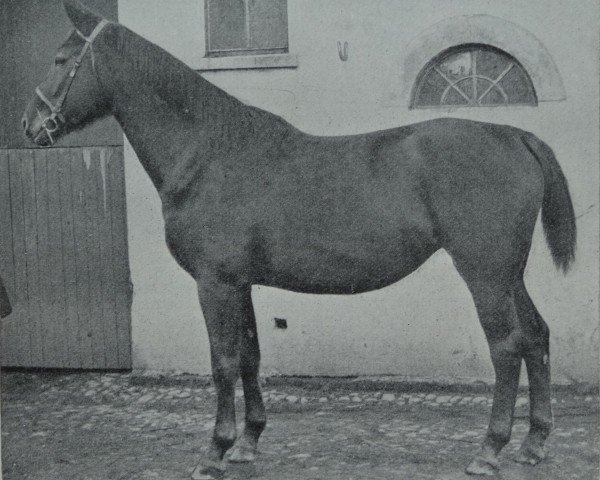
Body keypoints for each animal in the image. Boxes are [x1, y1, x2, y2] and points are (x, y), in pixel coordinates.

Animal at [23, 0, 576, 476]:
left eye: (61, 59)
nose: (30, 125)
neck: (209, 153)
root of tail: (514, 135)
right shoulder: (240, 283)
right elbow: (250, 354)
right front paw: (247, 443)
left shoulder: (214, 283)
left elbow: (223, 361)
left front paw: (214, 452)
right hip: (509, 273)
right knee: (537, 336)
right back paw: (533, 443)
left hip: (484, 274)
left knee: (506, 347)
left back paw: (489, 451)